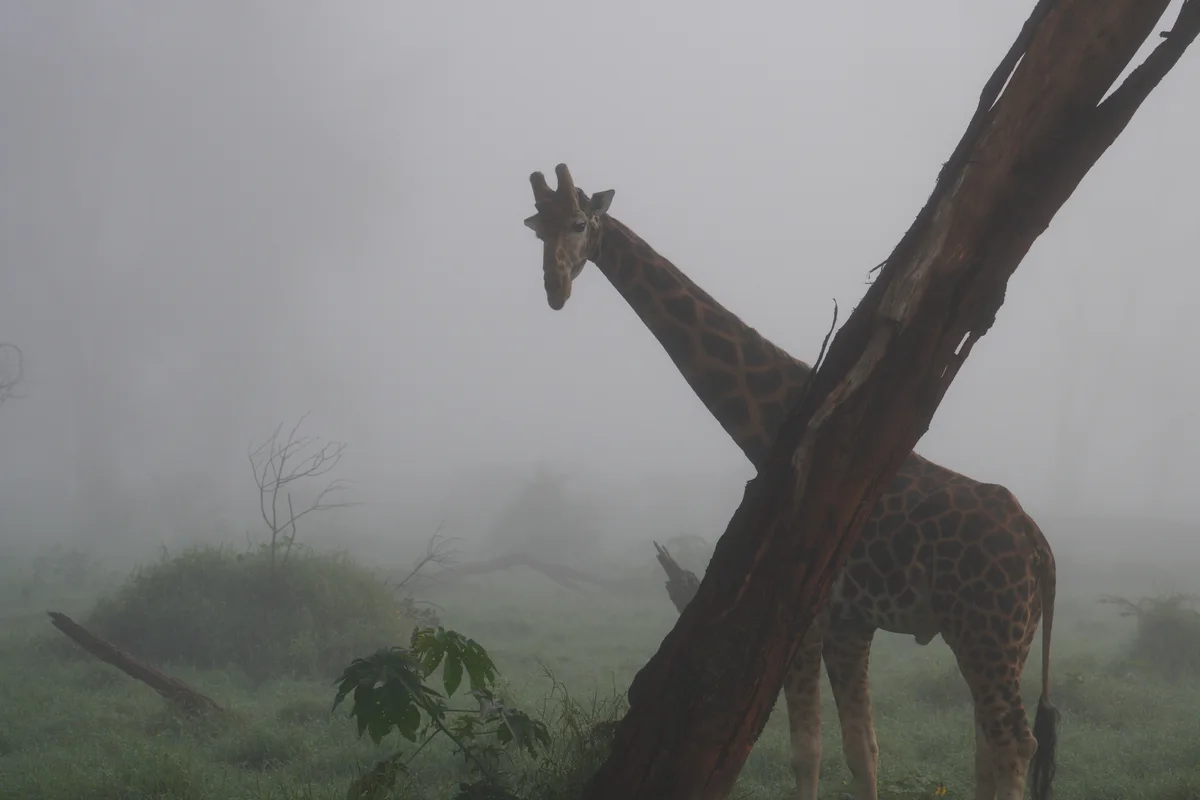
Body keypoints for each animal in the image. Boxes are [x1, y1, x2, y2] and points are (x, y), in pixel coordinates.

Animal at [522, 164, 1060, 800]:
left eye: (581, 224)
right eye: (538, 229)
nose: (555, 289)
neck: (773, 423)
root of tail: (1039, 547)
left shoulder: (806, 616)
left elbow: (807, 750)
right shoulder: (850, 624)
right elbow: (862, 748)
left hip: (988, 631)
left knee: (1015, 743)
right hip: (1007, 637)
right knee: (989, 744)